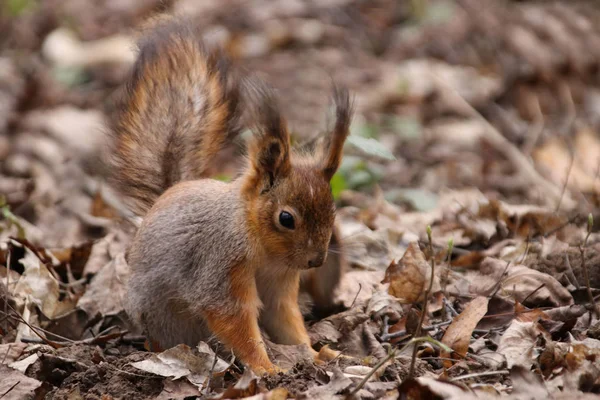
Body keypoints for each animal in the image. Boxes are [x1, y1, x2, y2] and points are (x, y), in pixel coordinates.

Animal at [109, 17, 352, 376]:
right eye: (286, 218)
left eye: (334, 213)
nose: (316, 261)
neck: (264, 248)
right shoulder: (220, 263)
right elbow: (233, 319)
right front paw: (267, 368)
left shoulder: (281, 281)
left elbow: (285, 319)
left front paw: (317, 354)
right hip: (163, 317)